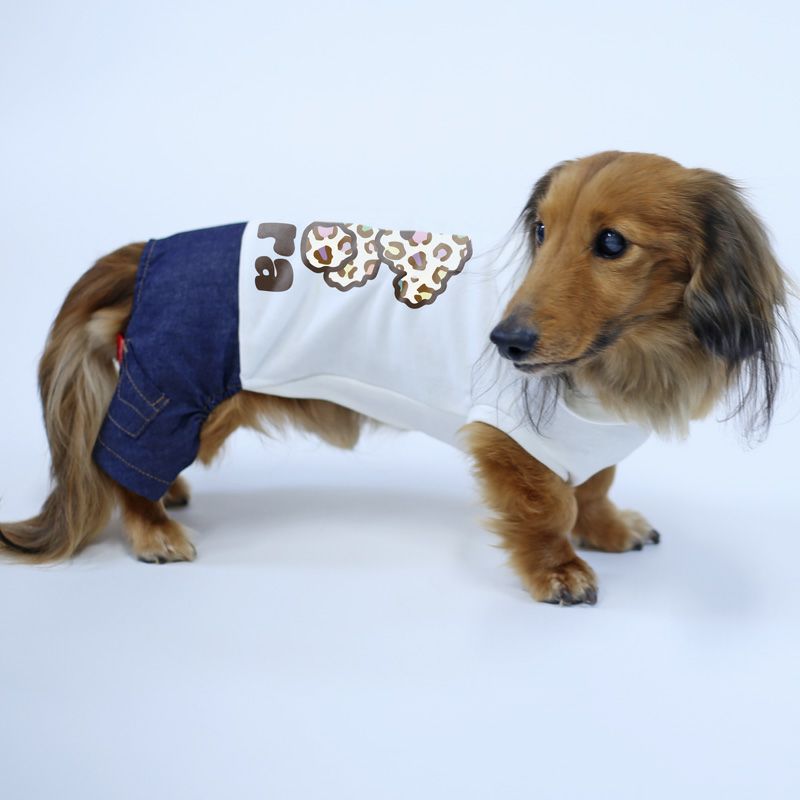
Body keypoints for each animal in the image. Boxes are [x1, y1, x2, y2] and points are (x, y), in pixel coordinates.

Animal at [0, 151, 790, 605]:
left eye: (613, 242)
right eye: (541, 230)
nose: (505, 342)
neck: (621, 353)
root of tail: (148, 251)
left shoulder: (586, 442)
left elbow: (592, 486)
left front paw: (607, 528)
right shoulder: (513, 444)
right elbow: (546, 508)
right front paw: (558, 570)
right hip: (185, 393)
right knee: (119, 465)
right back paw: (153, 527)